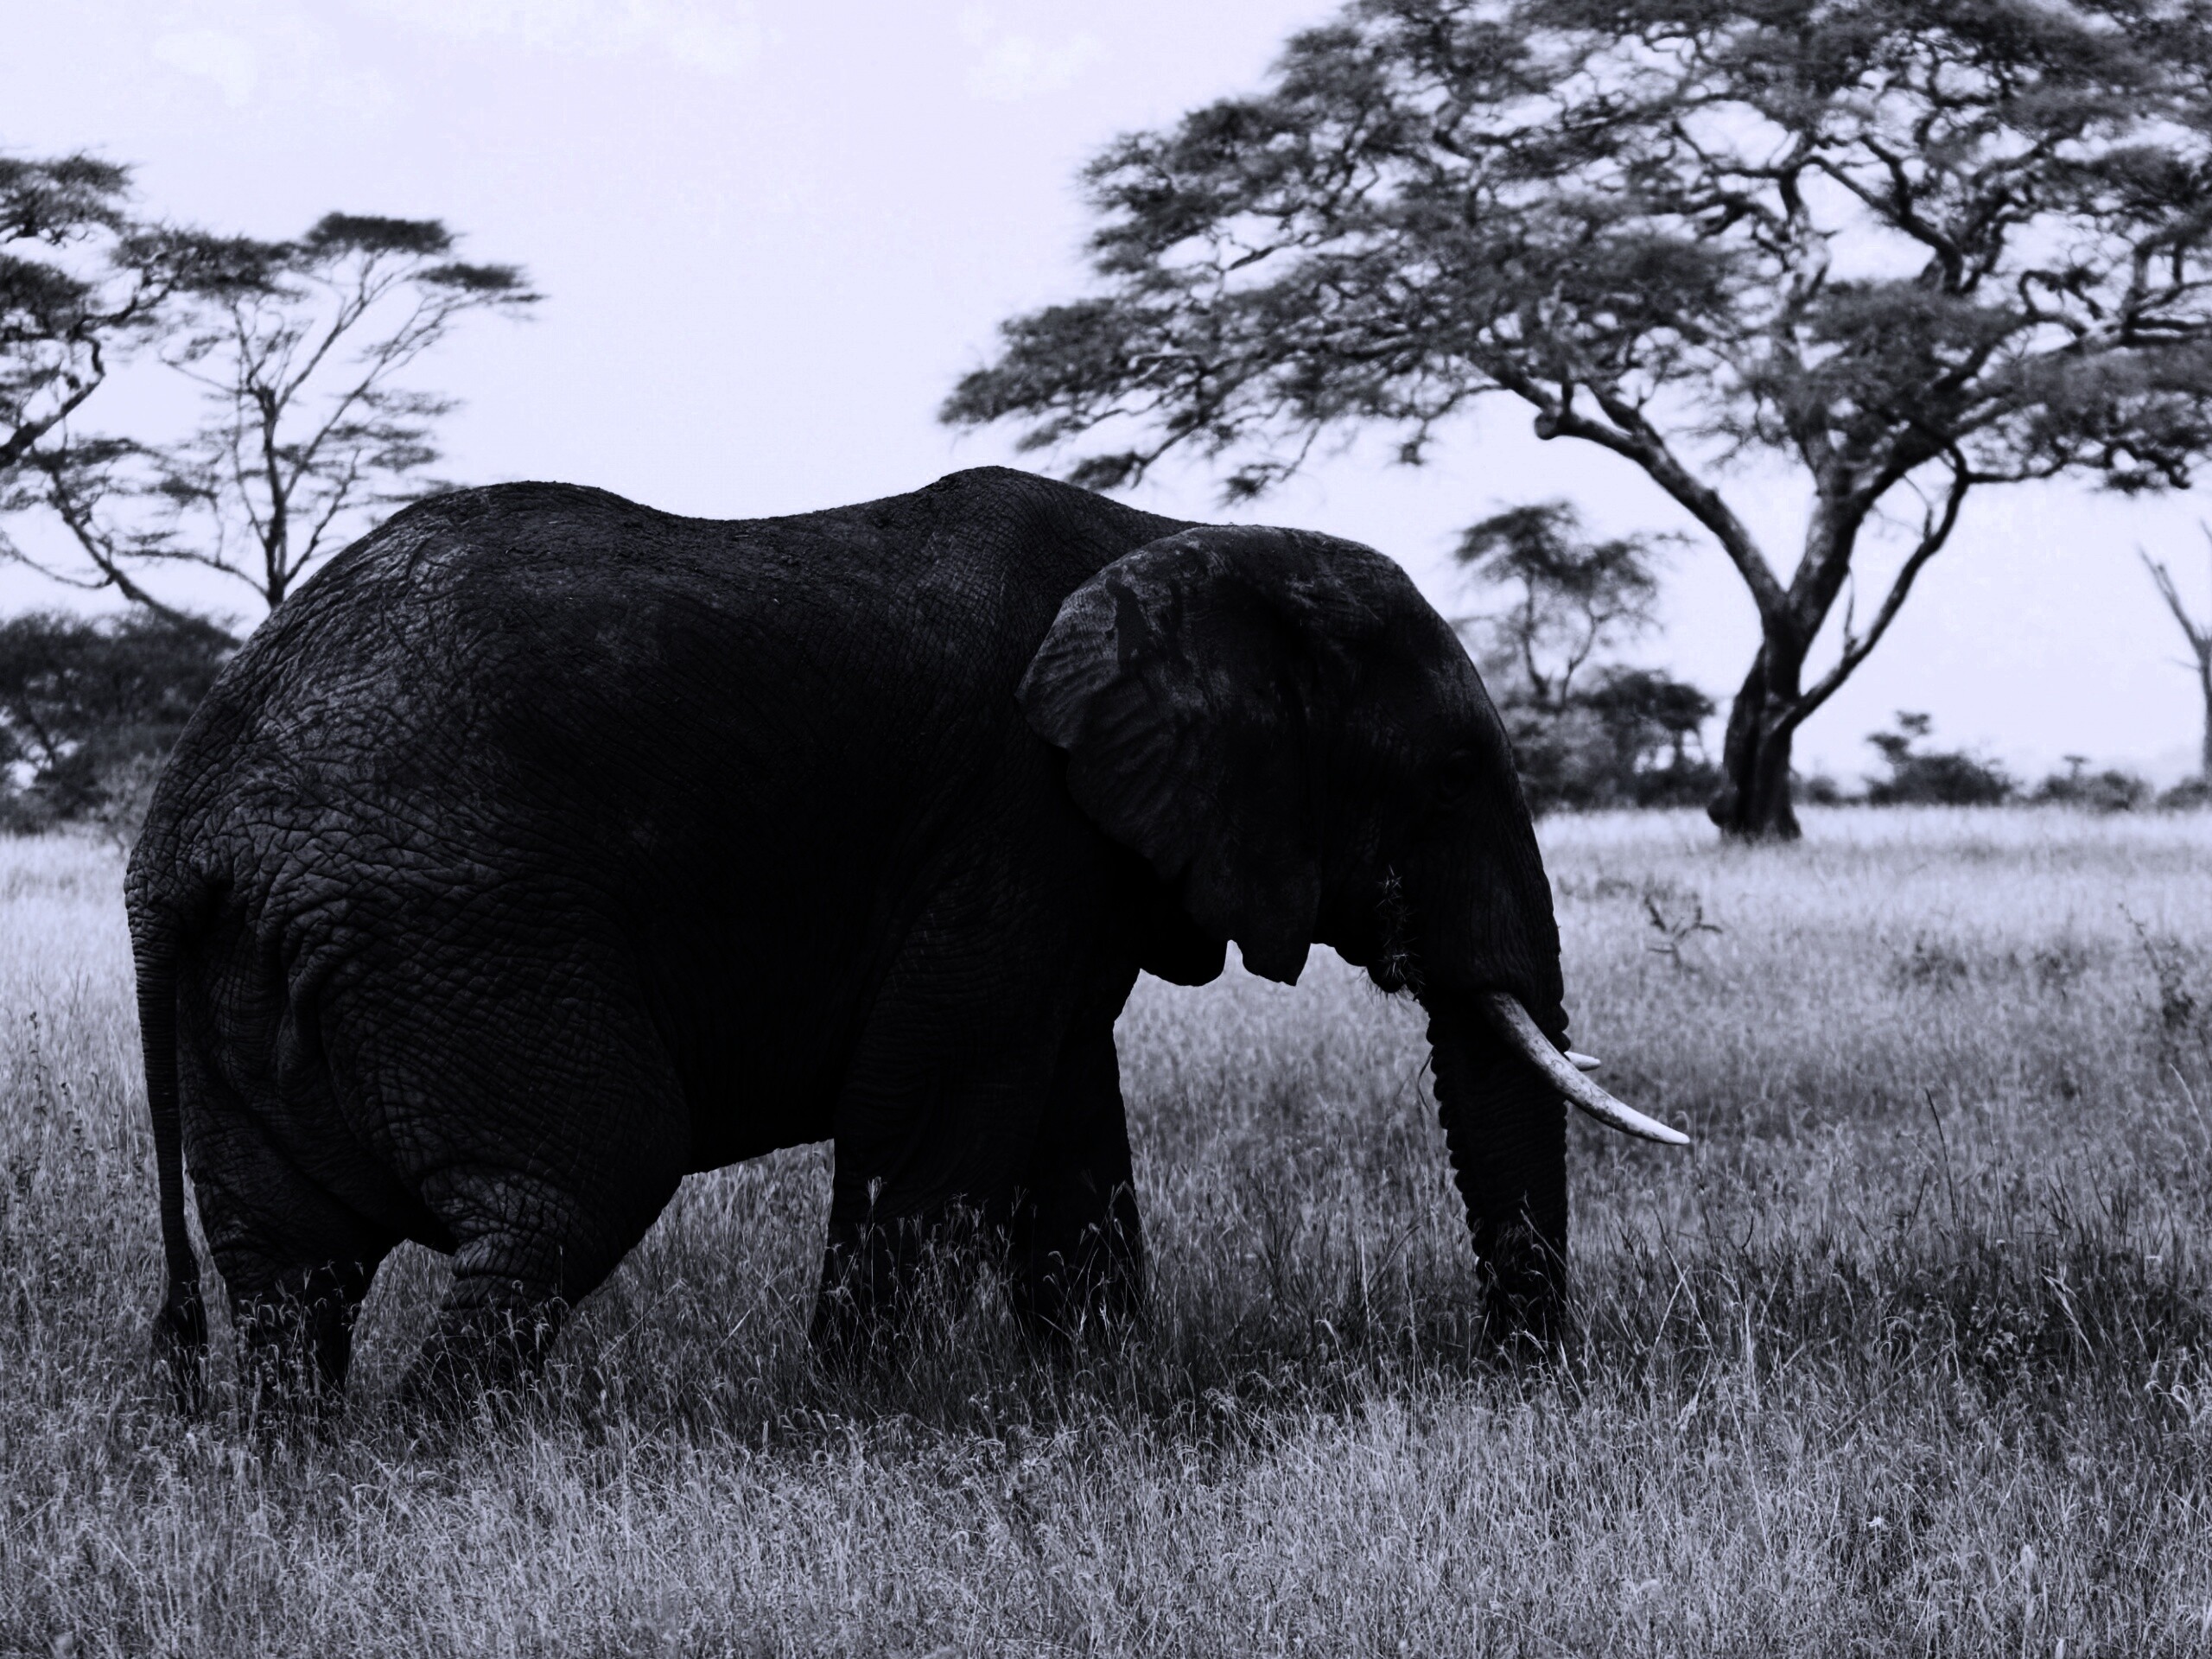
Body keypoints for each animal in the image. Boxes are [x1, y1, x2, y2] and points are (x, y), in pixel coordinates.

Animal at [128, 465, 1684, 1413]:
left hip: (271, 970)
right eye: (1448, 776)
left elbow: (1066, 1127)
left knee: (290, 1269)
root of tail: (183, 821)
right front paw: (863, 1422)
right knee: (567, 1192)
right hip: (458, 929)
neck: (1180, 542)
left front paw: (1099, 1402)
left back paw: (311, 1477)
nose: (1517, 1378)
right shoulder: (1015, 818)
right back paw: (438, 1468)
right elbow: (931, 1114)